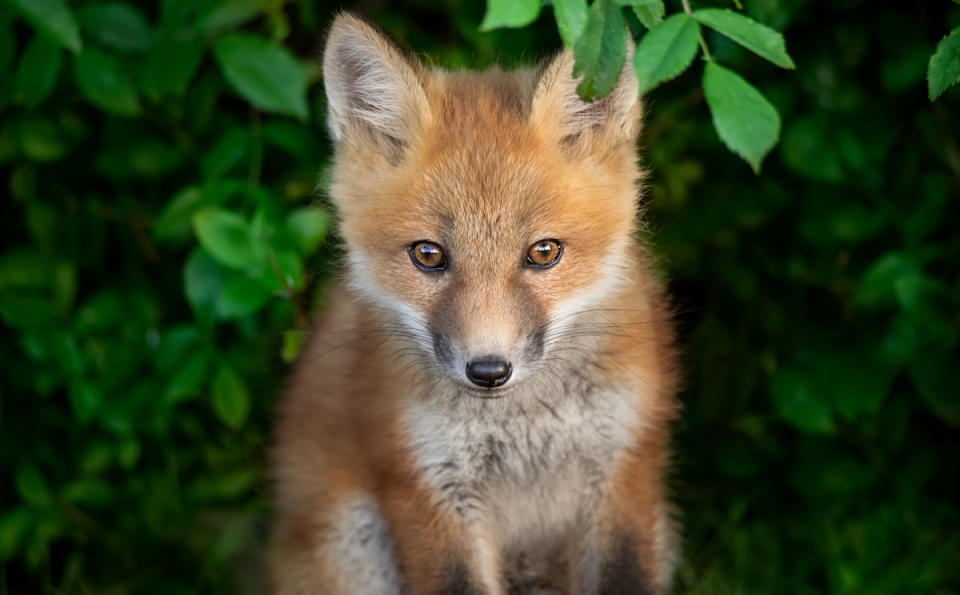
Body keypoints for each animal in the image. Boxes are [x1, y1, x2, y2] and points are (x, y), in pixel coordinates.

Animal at [266, 14, 680, 595]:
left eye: (544, 252)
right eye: (428, 255)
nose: (488, 371)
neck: (522, 426)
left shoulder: (622, 470)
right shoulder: (426, 487)